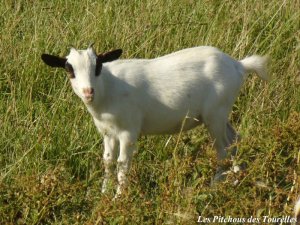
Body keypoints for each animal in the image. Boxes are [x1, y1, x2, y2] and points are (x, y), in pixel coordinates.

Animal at [41, 44, 268, 196]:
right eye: (69, 69)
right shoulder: (108, 132)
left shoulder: (128, 131)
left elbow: (122, 164)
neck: (109, 88)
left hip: (215, 115)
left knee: (222, 149)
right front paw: (103, 194)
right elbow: (108, 161)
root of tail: (238, 65)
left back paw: (215, 185)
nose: (88, 92)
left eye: (97, 66)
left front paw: (118, 198)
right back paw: (237, 178)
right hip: (220, 115)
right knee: (234, 139)